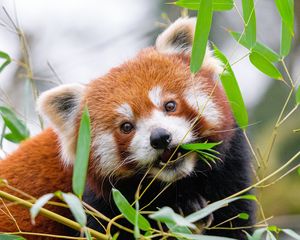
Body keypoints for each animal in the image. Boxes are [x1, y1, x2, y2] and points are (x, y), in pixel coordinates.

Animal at [0, 18, 254, 240]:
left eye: (170, 105)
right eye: (126, 126)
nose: (160, 137)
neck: (177, 186)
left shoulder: (229, 183)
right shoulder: (100, 209)